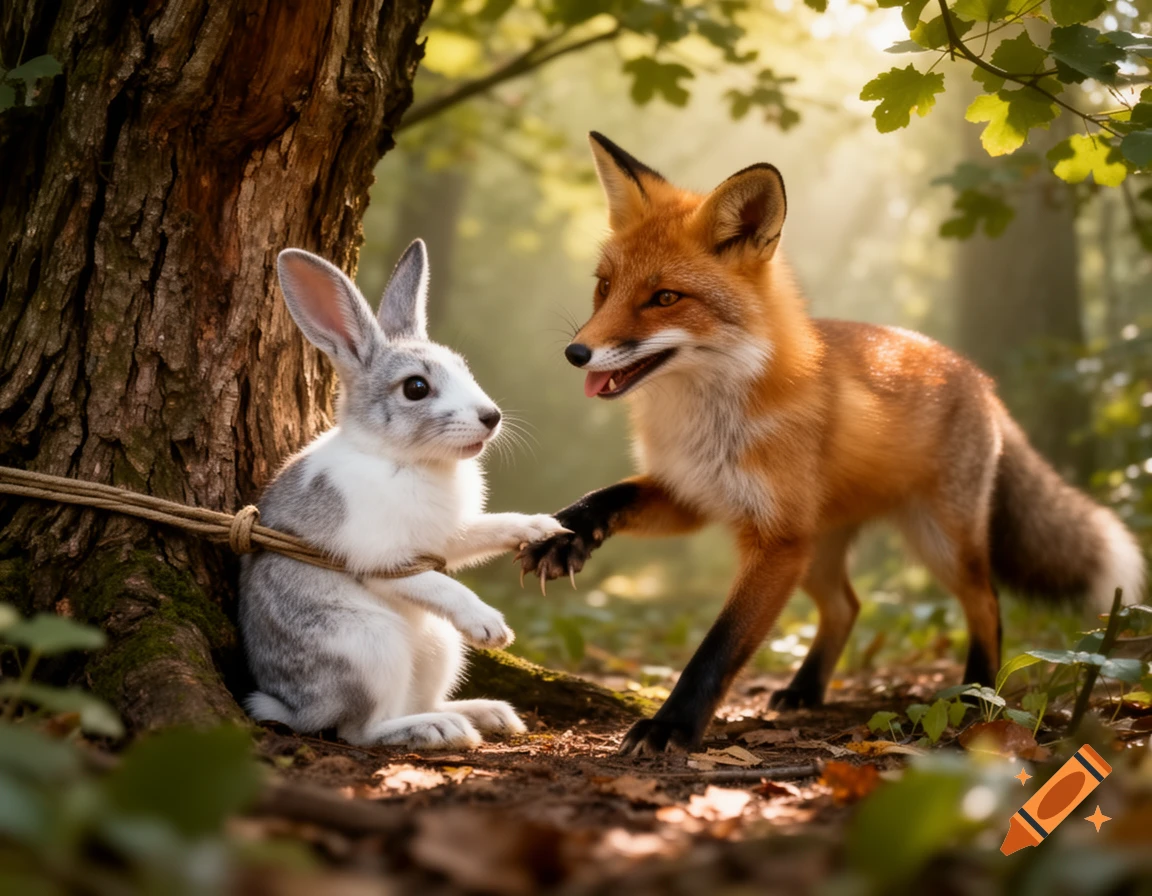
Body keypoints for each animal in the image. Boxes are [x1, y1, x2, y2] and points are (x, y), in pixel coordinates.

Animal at [239, 240, 566, 750]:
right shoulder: (383, 560)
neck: (402, 458)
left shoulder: (446, 540)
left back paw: (485, 714)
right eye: (416, 388)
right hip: (369, 645)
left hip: (438, 646)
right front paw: (492, 628)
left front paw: (541, 527)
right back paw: (437, 729)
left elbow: (484, 532)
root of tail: (294, 708)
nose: (490, 417)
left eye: (463, 368)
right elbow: (438, 584)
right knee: (358, 730)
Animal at [518, 132, 1147, 757]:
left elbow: (718, 649)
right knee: (848, 606)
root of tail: (979, 379)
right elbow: (608, 495)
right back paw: (806, 689)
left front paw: (671, 725)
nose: (576, 353)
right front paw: (564, 534)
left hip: (934, 540)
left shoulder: (776, 541)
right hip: (819, 550)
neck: (706, 421)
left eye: (665, 298)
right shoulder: (691, 494)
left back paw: (977, 694)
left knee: (986, 602)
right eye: (604, 287)